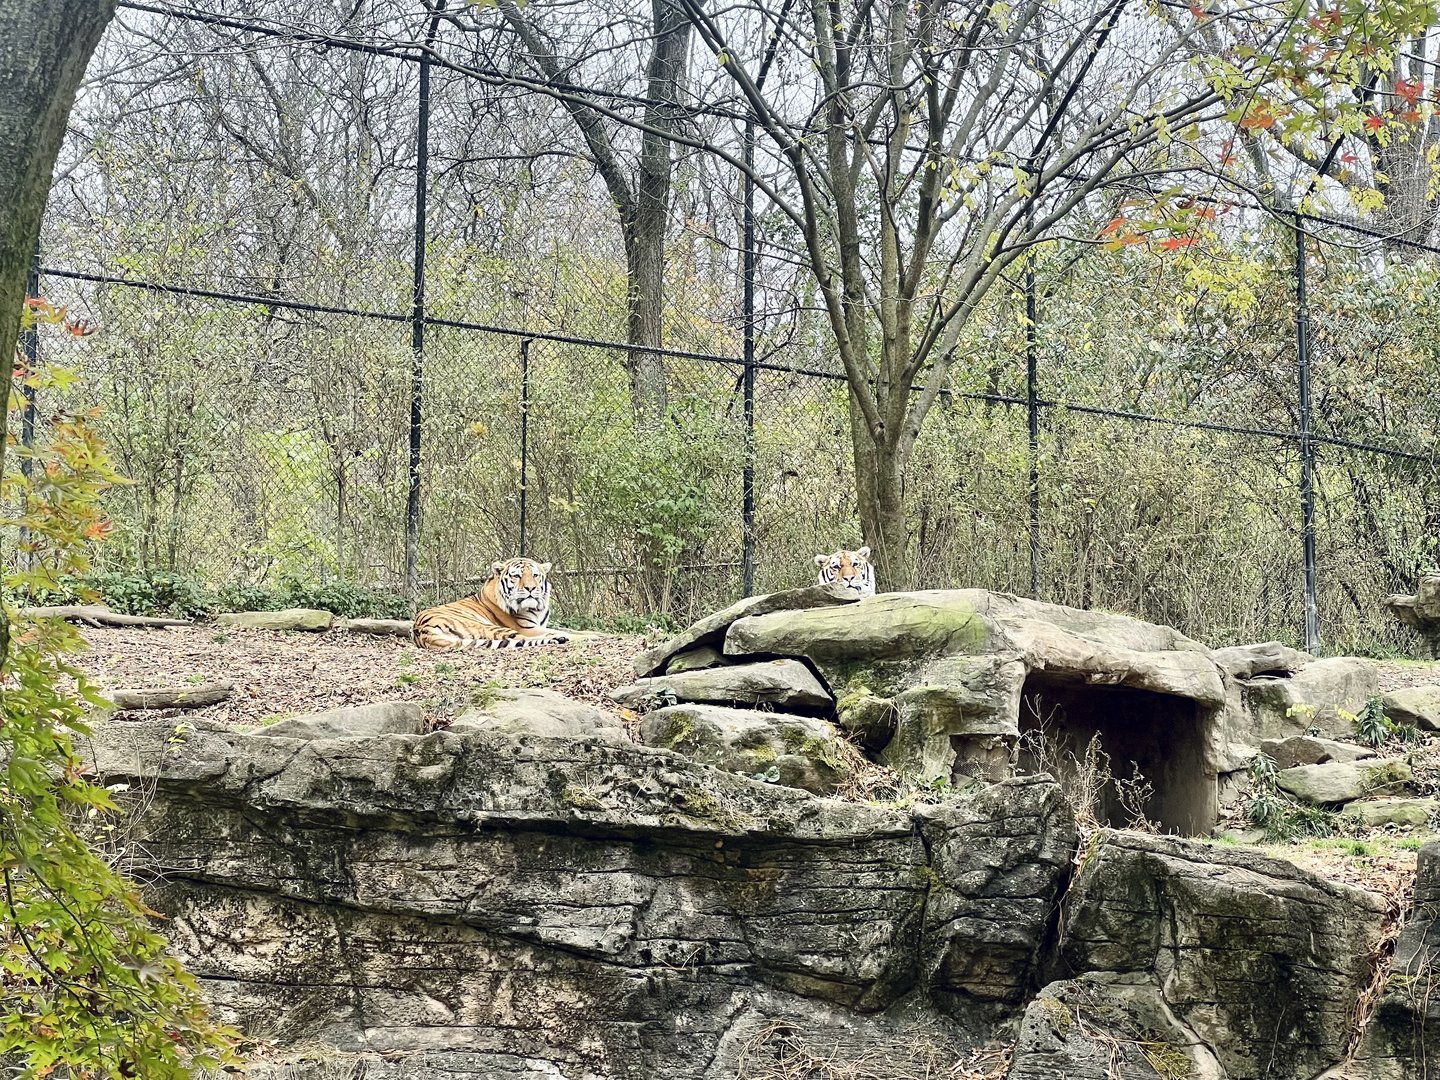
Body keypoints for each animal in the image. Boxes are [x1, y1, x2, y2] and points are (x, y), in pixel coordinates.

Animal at [412, 557, 569, 651]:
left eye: (535, 575)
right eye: (516, 576)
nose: (530, 588)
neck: (537, 608)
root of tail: (421, 630)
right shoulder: (527, 628)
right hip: (488, 626)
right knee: (520, 638)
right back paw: (560, 639)